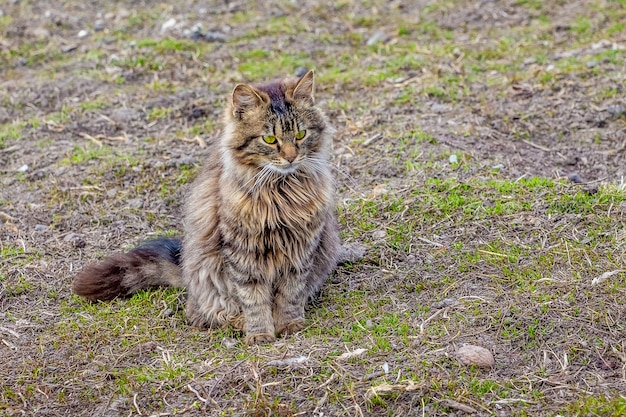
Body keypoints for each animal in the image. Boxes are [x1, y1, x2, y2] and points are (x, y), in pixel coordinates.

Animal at [75, 70, 344, 344]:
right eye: (269, 139)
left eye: (300, 135)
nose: (290, 157)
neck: (280, 191)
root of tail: (184, 267)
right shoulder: (242, 252)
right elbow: (253, 299)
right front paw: (260, 334)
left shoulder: (301, 249)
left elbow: (290, 293)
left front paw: (289, 324)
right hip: (207, 273)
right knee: (203, 312)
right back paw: (238, 323)